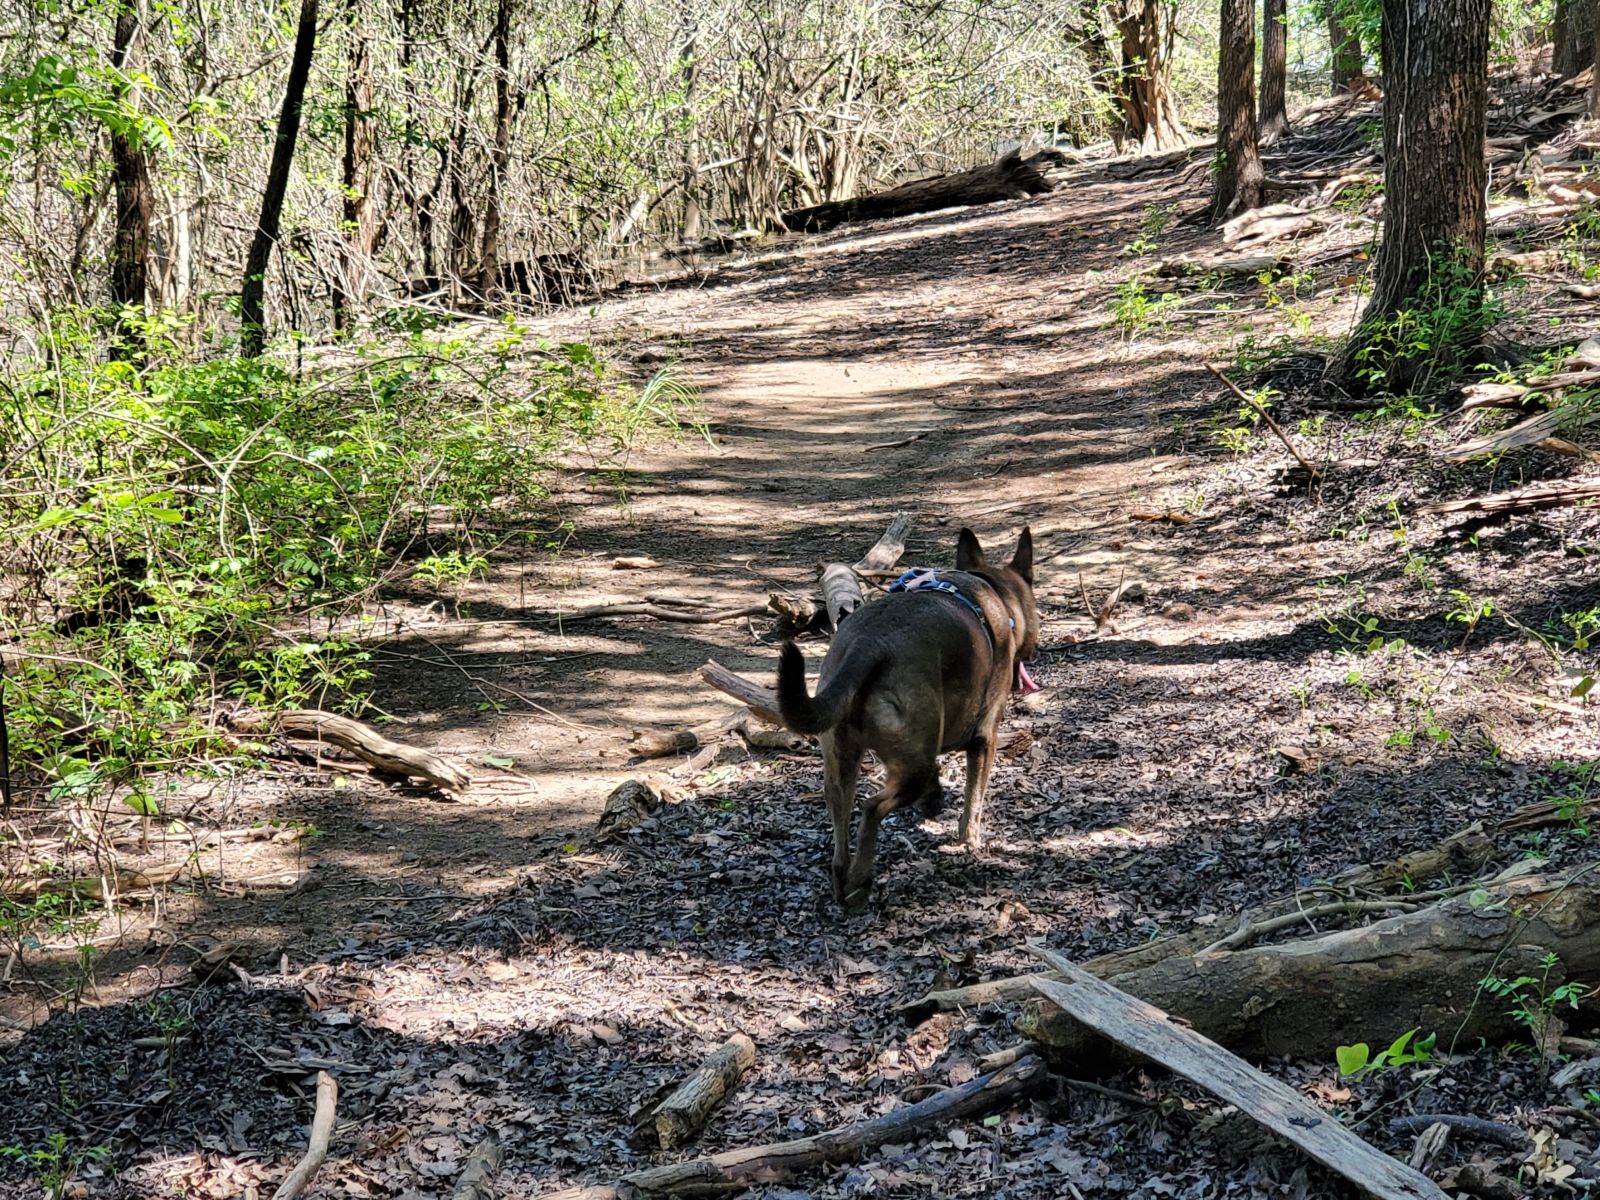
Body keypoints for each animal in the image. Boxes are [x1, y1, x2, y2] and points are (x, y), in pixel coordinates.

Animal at [774, 524, 1036, 908]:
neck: (995, 594)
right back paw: (862, 879)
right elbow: (974, 796)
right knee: (872, 808)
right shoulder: (984, 737)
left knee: (841, 820)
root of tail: (868, 644)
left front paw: (935, 800)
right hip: (911, 763)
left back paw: (843, 883)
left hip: (845, 760)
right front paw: (969, 839)